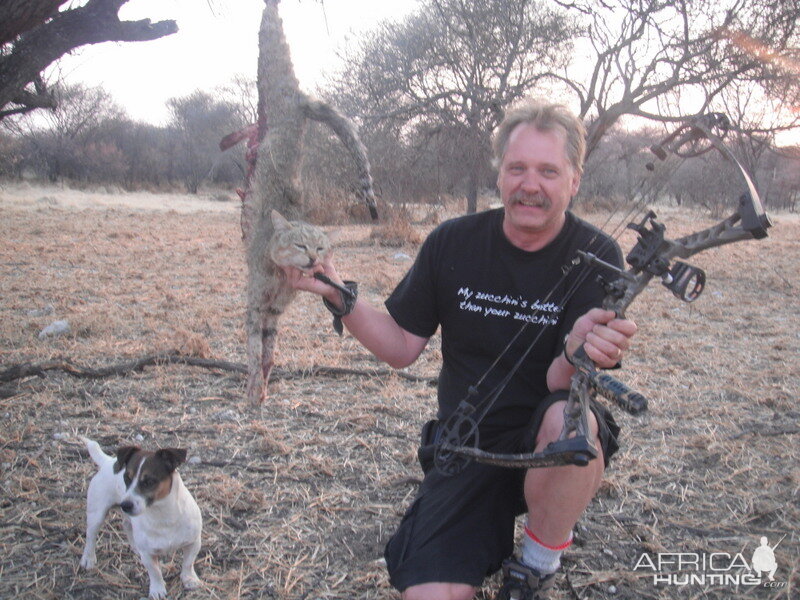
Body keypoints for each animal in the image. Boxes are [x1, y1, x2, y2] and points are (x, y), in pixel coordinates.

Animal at [79, 436, 203, 600]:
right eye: (126, 478)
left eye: (149, 481)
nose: (125, 505)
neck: (163, 514)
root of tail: (108, 462)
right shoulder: (148, 554)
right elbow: (155, 572)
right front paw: (157, 589)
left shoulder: (193, 542)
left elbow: (188, 563)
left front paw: (189, 579)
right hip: (97, 514)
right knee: (91, 536)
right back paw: (88, 558)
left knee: (127, 526)